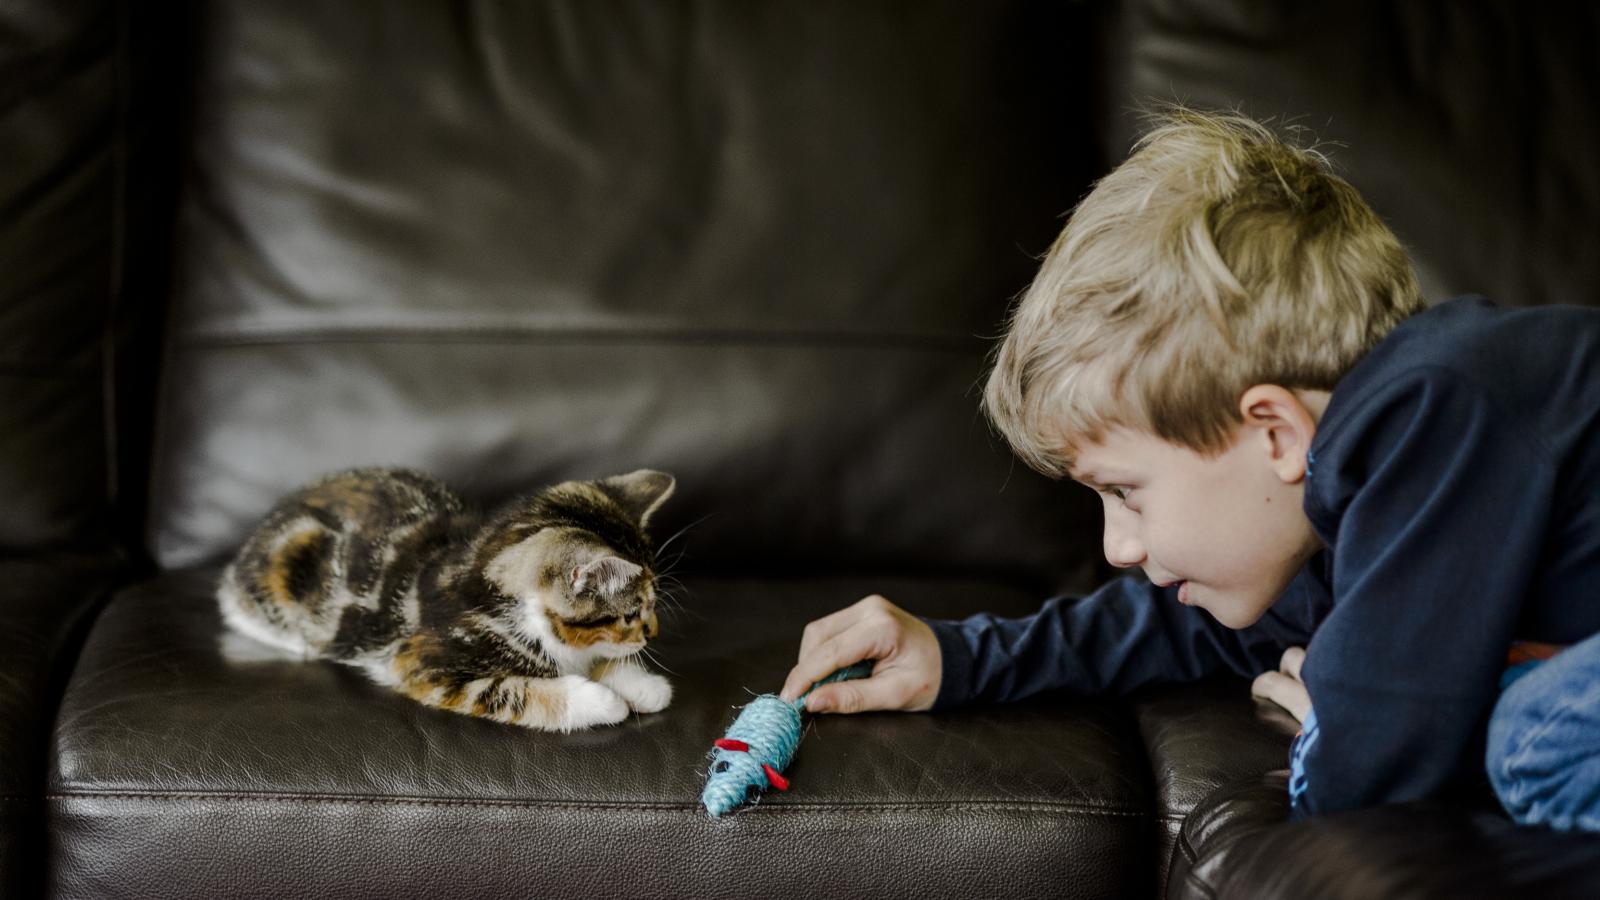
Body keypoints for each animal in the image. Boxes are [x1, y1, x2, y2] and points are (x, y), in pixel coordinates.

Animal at [217, 464, 675, 733]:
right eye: (634, 612)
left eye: (650, 608)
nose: (653, 633)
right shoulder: (421, 662)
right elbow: (509, 691)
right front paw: (600, 700)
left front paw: (641, 684)